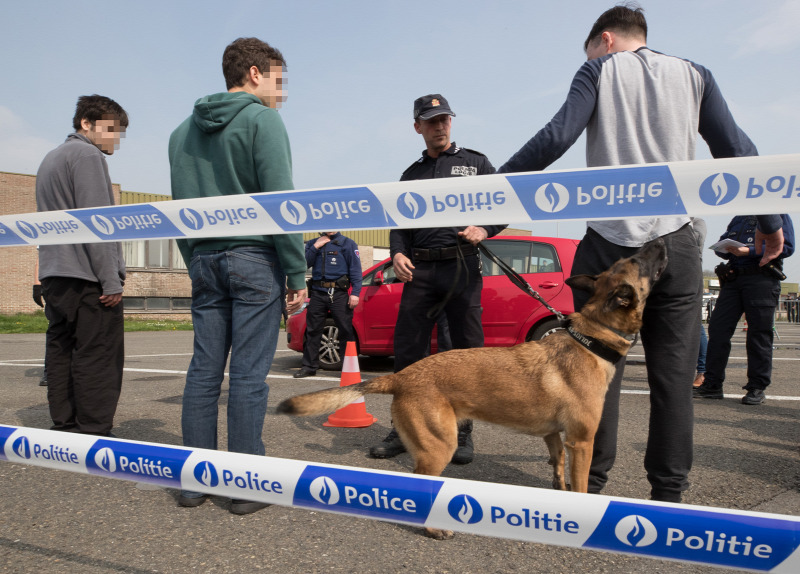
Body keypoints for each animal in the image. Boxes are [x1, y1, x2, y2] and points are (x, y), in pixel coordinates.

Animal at [278, 237, 664, 540]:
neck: (592, 337)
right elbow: (581, 484)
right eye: (636, 261)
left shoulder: (554, 436)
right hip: (439, 445)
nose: (662, 242)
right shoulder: (581, 442)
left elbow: (558, 469)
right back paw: (434, 528)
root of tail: (403, 376)